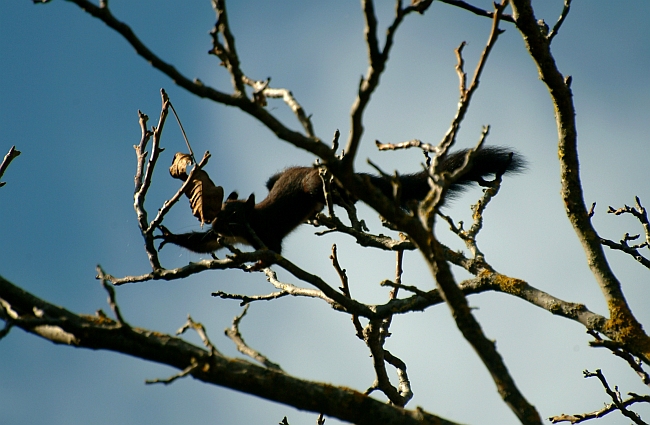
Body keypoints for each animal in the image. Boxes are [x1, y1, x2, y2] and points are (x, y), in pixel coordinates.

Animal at [157, 147, 520, 255]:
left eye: (234, 217)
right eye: (219, 213)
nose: (216, 225)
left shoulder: (267, 232)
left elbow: (273, 252)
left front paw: (261, 262)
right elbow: (203, 245)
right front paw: (169, 236)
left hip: (312, 187)